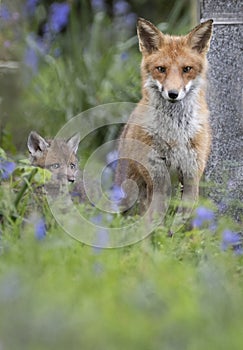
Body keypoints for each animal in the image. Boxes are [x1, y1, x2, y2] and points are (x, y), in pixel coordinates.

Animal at [116, 18, 213, 219]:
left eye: (187, 69)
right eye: (161, 69)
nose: (173, 94)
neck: (175, 133)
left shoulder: (192, 175)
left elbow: (180, 221)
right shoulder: (157, 178)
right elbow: (153, 219)